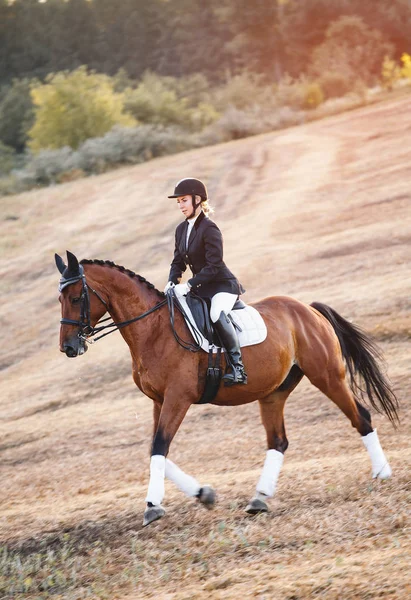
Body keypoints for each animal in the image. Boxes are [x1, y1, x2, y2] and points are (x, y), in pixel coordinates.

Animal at [54, 250, 400, 524]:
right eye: (59, 299)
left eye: (76, 297)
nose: (69, 347)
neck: (153, 329)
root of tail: (308, 309)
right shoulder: (158, 400)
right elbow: (155, 449)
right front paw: (204, 494)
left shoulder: (178, 398)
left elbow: (160, 446)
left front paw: (153, 505)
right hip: (274, 393)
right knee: (278, 441)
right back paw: (259, 498)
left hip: (327, 376)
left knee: (360, 417)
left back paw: (382, 473)